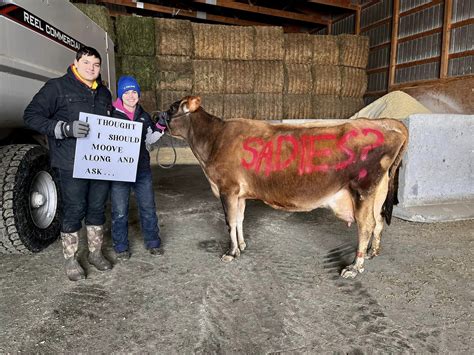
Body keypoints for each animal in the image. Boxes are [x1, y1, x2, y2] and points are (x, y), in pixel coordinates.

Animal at [166, 96, 408, 280]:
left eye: (172, 108)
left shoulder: (228, 188)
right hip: (377, 191)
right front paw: (242, 245)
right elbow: (240, 219)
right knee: (378, 222)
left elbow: (230, 222)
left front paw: (231, 252)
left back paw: (354, 267)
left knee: (366, 226)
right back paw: (371, 253)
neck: (213, 140)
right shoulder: (240, 194)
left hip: (362, 190)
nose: (160, 115)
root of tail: (385, 124)